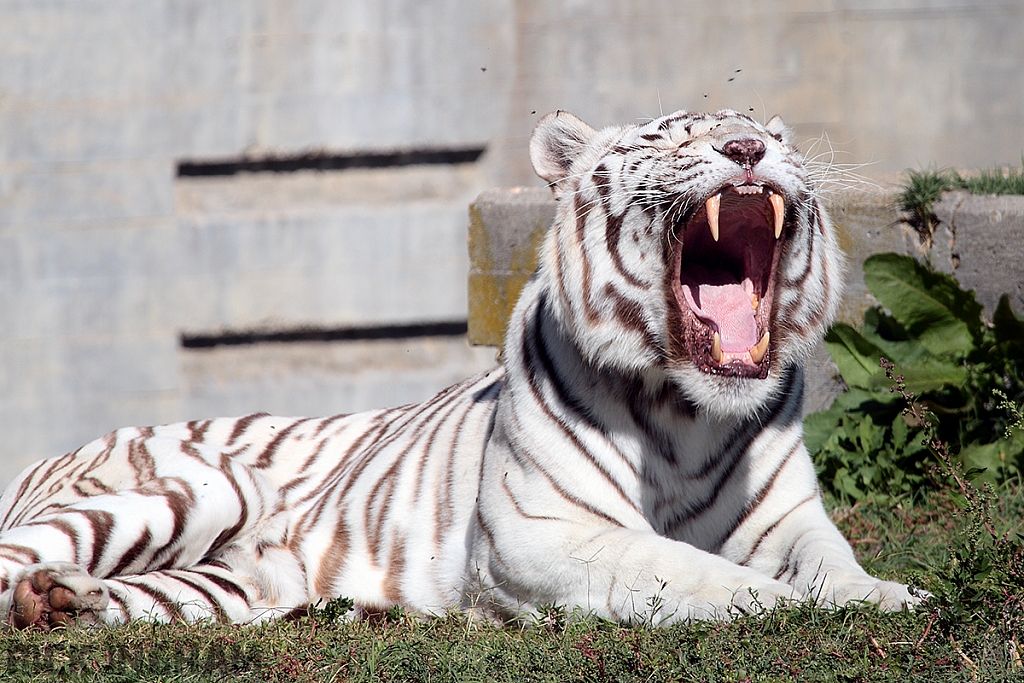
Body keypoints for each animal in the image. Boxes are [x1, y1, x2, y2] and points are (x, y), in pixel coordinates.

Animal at [0, 108, 921, 630]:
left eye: (782, 138)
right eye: (672, 139)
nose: (750, 147)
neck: (689, 407)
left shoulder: (790, 521)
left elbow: (831, 563)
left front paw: (887, 596)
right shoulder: (544, 533)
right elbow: (702, 572)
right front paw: (793, 603)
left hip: (230, 583)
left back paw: (64, 602)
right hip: (198, 488)